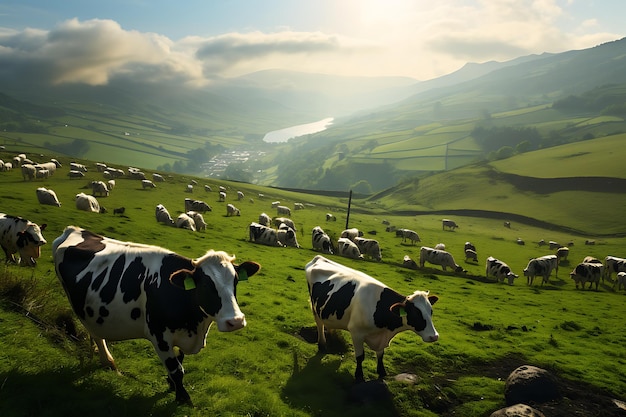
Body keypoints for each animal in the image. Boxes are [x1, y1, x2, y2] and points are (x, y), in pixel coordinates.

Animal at [51, 224, 260, 404]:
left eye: (235, 281)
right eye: (205, 285)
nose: (236, 321)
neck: (197, 327)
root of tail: (74, 229)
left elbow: (179, 360)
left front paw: (172, 385)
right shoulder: (158, 335)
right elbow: (177, 369)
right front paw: (182, 397)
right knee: (95, 334)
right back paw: (109, 362)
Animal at [304, 254, 436, 380]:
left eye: (431, 311)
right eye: (415, 313)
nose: (434, 336)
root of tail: (319, 257)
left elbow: (380, 355)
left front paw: (382, 372)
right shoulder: (356, 333)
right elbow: (360, 357)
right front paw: (359, 376)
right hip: (314, 307)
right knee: (319, 324)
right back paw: (322, 345)